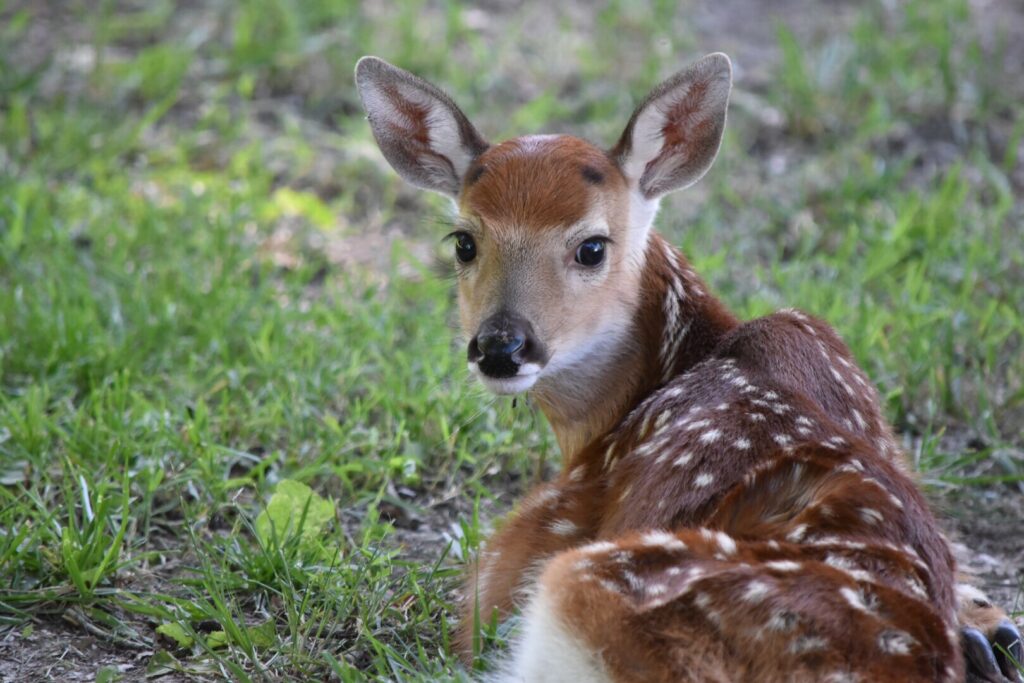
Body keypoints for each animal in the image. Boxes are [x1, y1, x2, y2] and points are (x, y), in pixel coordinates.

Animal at [356, 50, 1019, 679]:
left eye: (591, 246)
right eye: (464, 242)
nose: (500, 346)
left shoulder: (519, 555)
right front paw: (983, 621)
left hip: (586, 581)